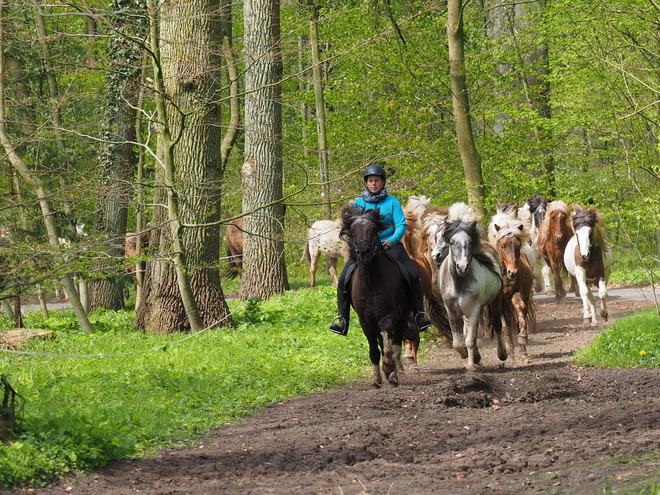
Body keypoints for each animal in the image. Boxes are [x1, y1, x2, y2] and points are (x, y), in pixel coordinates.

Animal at [338, 204, 416, 388]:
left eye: (373, 228)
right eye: (353, 229)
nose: (364, 251)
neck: (371, 282)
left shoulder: (388, 317)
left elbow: (389, 347)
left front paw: (388, 369)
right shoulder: (366, 322)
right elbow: (374, 351)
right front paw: (376, 379)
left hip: (402, 318)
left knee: (395, 345)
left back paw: (393, 374)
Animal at [436, 221, 508, 372]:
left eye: (469, 242)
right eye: (451, 242)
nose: (462, 267)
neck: (458, 283)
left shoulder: (474, 309)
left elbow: (470, 340)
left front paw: (471, 365)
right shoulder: (452, 311)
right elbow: (458, 342)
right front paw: (467, 355)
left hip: (495, 301)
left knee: (497, 325)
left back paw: (502, 353)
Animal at [488, 209, 540, 360]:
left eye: (518, 245)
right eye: (502, 246)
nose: (513, 272)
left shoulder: (516, 294)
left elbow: (521, 310)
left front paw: (522, 338)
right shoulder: (499, 302)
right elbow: (504, 326)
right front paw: (509, 352)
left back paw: (522, 350)